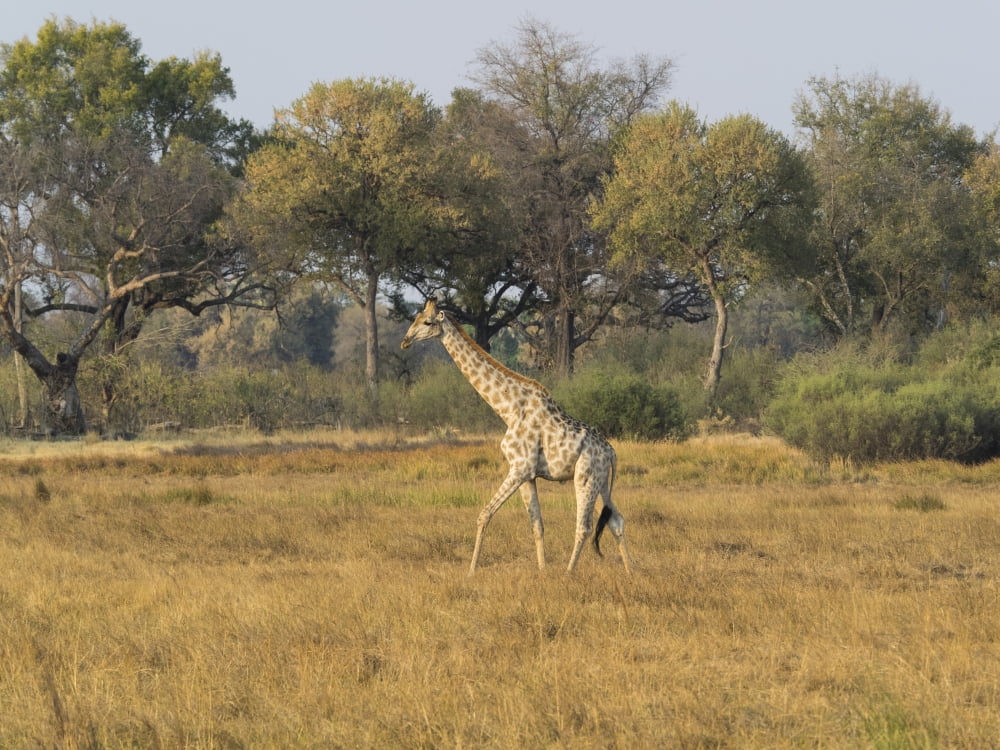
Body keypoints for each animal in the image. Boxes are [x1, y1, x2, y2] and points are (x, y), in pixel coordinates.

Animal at [401, 299, 633, 575]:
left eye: (427, 322)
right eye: (414, 318)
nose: (405, 341)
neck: (509, 409)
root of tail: (611, 452)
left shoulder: (520, 467)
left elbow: (485, 515)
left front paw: (471, 571)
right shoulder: (528, 475)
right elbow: (537, 525)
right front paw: (542, 571)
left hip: (586, 477)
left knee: (584, 526)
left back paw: (568, 573)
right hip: (600, 482)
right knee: (616, 521)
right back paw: (632, 572)